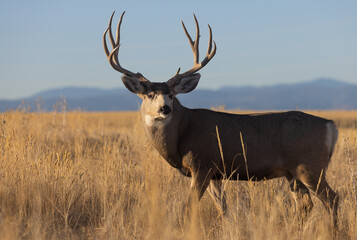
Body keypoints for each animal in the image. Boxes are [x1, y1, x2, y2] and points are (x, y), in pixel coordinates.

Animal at [102, 10, 336, 226]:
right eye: (150, 94)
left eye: (171, 94)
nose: (165, 109)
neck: (182, 132)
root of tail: (330, 125)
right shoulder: (216, 173)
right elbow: (223, 209)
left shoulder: (202, 164)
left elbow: (189, 208)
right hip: (292, 172)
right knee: (305, 205)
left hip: (310, 165)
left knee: (331, 198)